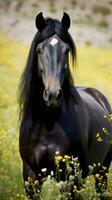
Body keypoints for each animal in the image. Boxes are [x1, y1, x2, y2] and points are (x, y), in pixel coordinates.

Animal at [18, 12, 111, 198]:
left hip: (102, 171)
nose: (53, 94)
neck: (48, 123)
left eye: (66, 50)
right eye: (40, 50)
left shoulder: (71, 178)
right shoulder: (30, 175)